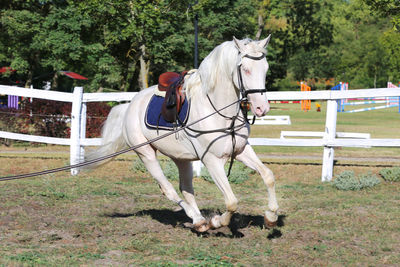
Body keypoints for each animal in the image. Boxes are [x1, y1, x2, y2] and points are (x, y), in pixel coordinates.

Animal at [87, 36, 278, 232]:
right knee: (168, 189)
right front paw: (216, 221)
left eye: (265, 68)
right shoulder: (211, 160)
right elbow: (231, 202)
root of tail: (130, 105)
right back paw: (198, 219)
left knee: (186, 188)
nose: (262, 108)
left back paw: (199, 221)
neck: (220, 113)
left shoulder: (241, 150)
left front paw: (271, 216)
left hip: (181, 158)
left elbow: (268, 176)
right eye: (246, 69)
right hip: (146, 154)